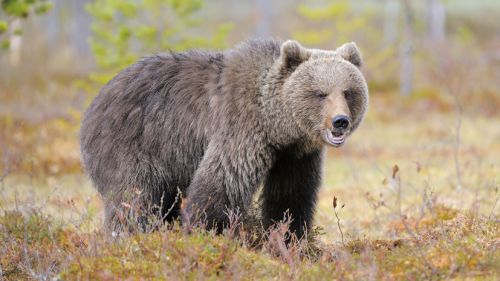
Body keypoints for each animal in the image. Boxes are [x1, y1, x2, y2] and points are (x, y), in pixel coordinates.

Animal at [80, 38, 370, 237]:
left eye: (348, 91)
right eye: (320, 93)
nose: (340, 121)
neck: (277, 124)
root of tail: (95, 101)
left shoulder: (295, 155)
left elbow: (290, 197)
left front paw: (289, 236)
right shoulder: (241, 127)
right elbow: (221, 183)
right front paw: (205, 231)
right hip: (133, 144)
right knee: (135, 197)